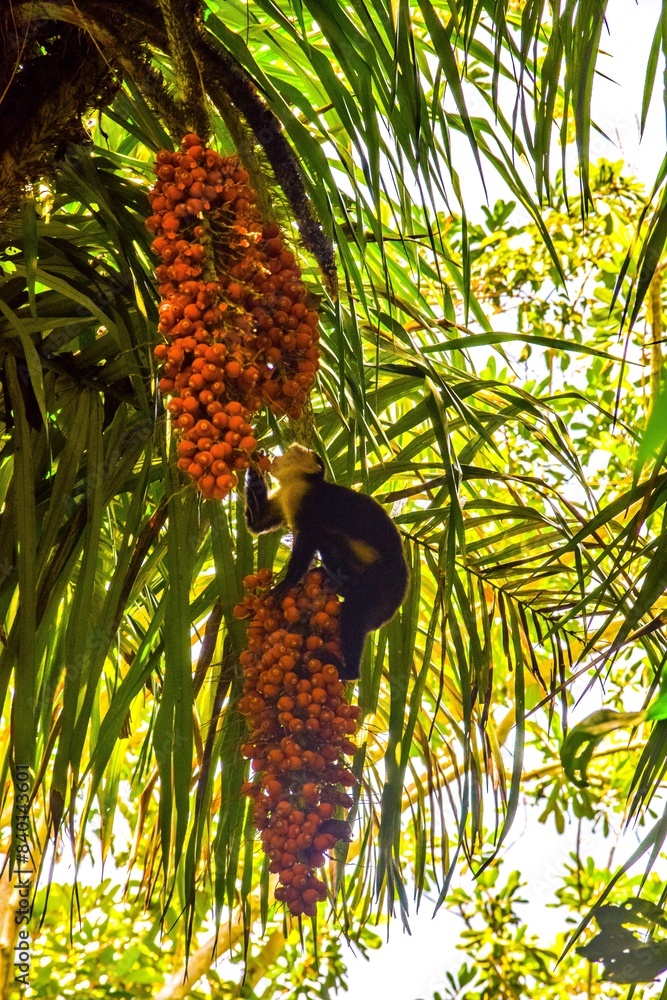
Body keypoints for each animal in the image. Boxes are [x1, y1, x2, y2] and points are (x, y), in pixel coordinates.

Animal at [245, 444, 409, 680]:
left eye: (292, 454)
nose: (278, 457)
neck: (298, 485)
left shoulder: (310, 501)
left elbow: (308, 538)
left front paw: (287, 582)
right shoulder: (285, 495)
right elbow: (257, 524)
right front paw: (253, 463)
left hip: (384, 583)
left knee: (355, 610)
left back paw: (349, 671)